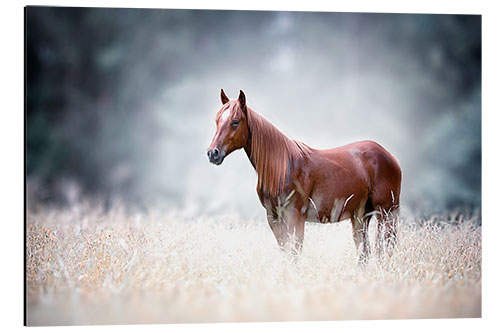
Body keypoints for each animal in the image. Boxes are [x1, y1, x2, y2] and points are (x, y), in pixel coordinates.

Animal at [207, 89, 402, 262]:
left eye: (235, 121)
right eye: (217, 120)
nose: (212, 153)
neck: (282, 168)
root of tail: (390, 156)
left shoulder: (295, 217)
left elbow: (294, 253)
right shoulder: (274, 218)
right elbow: (285, 252)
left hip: (385, 213)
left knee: (385, 248)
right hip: (361, 217)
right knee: (364, 252)